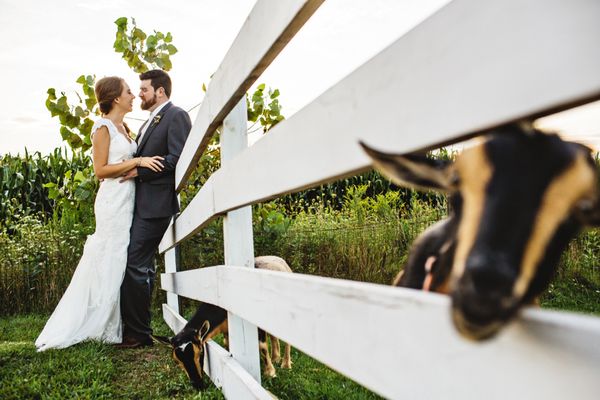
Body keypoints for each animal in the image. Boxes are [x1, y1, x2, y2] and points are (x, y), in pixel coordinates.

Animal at [158, 255, 292, 390]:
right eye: (176, 361)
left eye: (199, 352)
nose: (198, 385)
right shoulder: (226, 330)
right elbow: (227, 344)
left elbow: (262, 345)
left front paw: (270, 373)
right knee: (274, 336)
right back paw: (276, 358)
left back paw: (286, 364)